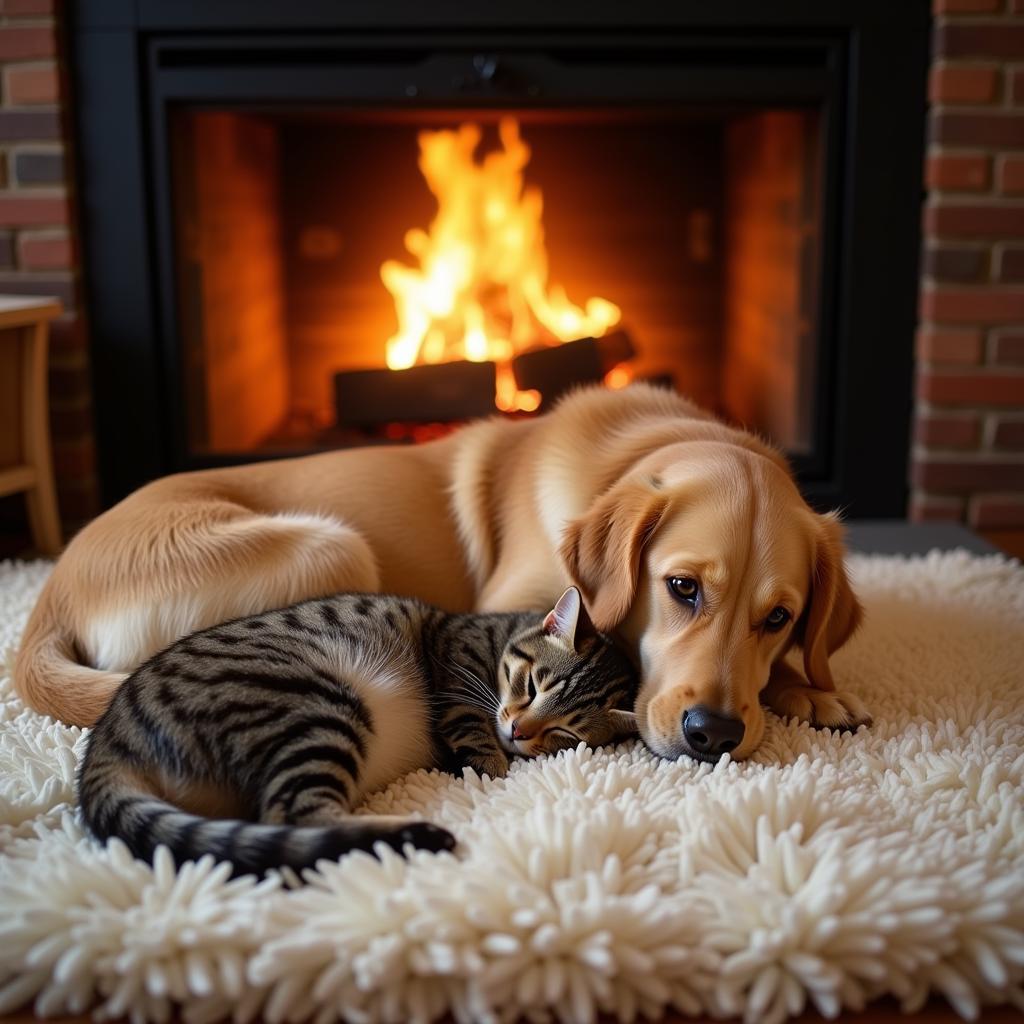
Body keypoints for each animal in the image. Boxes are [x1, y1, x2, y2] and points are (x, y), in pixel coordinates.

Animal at [12, 385, 868, 761]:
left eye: (780, 618)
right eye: (682, 588)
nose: (713, 735)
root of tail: (48, 596)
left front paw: (810, 688)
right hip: (331, 547)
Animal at [79, 589, 634, 876]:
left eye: (564, 732)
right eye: (532, 684)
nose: (519, 731)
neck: (495, 636)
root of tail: (111, 735)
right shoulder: (456, 686)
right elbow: (474, 728)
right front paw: (492, 766)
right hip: (322, 707)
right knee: (298, 818)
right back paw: (410, 834)